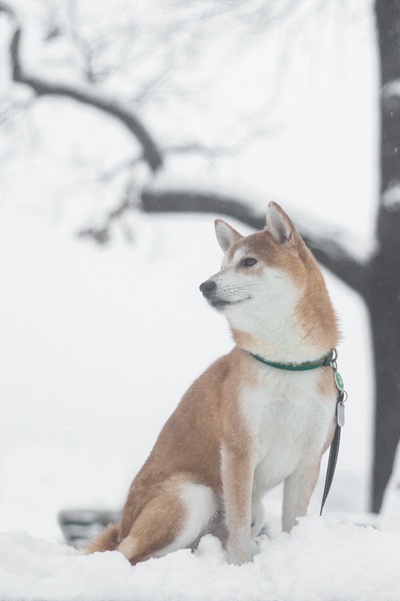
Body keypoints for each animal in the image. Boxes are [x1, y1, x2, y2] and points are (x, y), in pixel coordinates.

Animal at [86, 201, 339, 566]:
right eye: (222, 266)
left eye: (249, 262)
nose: (205, 286)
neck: (286, 364)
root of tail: (123, 525)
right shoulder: (239, 450)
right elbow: (239, 529)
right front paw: (243, 567)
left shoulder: (308, 461)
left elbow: (293, 521)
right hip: (194, 495)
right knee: (128, 555)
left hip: (248, 508)